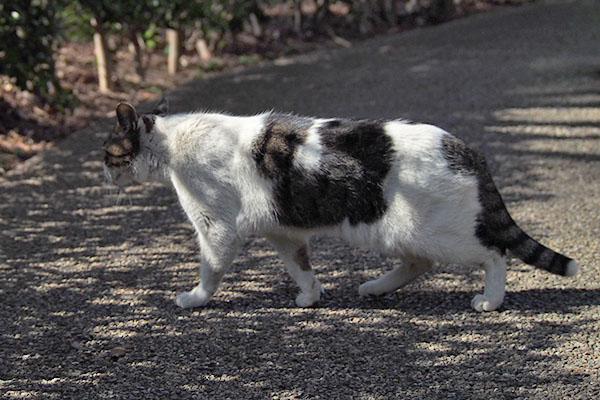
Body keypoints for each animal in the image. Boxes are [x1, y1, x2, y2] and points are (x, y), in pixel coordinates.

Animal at [103, 97, 576, 312]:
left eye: (107, 152)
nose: (103, 171)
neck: (172, 143)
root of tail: (466, 148)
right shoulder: (283, 231)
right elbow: (300, 267)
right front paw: (310, 296)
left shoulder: (215, 229)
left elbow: (210, 271)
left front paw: (195, 299)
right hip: (394, 231)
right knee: (419, 262)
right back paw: (375, 288)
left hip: (436, 232)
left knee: (494, 254)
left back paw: (490, 300)